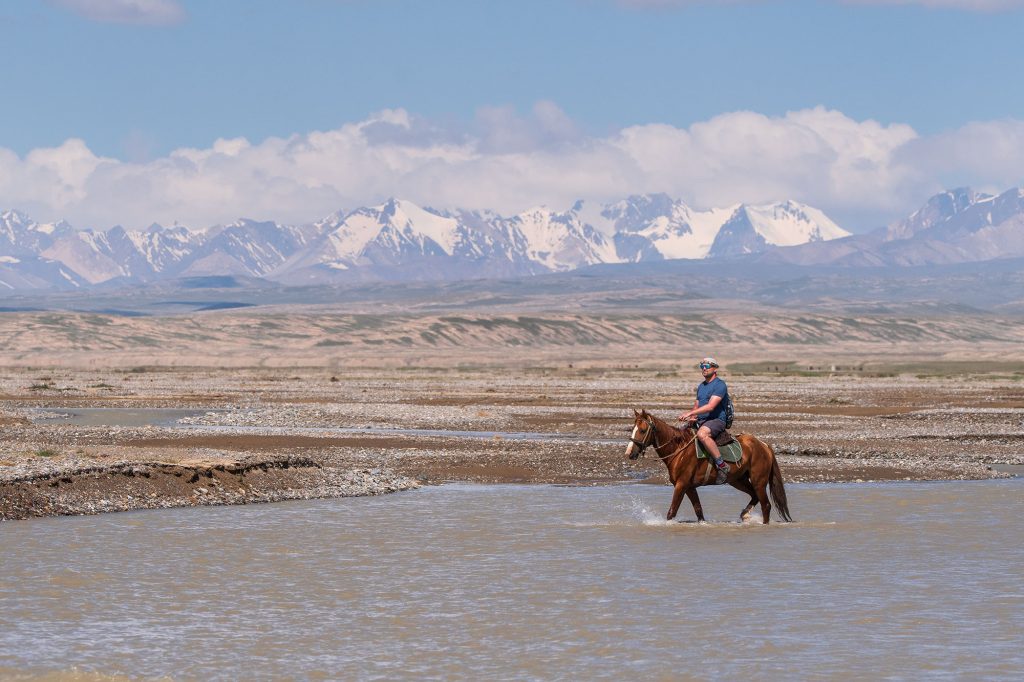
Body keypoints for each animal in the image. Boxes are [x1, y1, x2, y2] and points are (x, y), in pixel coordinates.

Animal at [625, 408, 792, 524]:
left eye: (642, 430)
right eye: (632, 429)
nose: (629, 453)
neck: (679, 449)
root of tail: (763, 445)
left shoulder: (681, 485)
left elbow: (671, 512)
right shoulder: (689, 487)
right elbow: (699, 511)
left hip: (759, 481)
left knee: (766, 505)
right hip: (738, 480)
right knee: (754, 496)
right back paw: (745, 514)